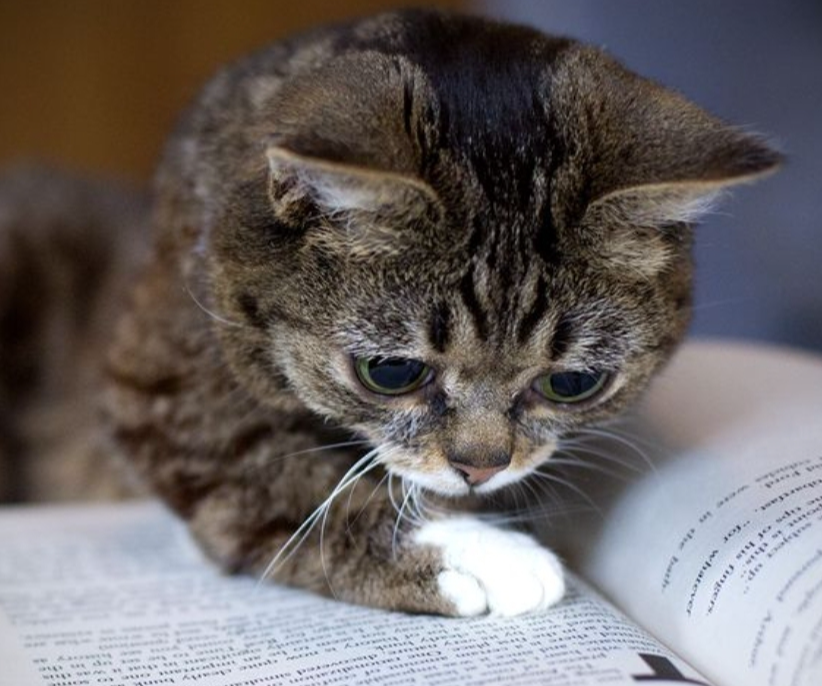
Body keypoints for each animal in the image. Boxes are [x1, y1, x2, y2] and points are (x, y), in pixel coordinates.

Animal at [0, 9, 780, 616]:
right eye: (392, 372)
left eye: (572, 383)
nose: (480, 469)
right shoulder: (157, 384)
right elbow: (268, 475)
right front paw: (474, 554)